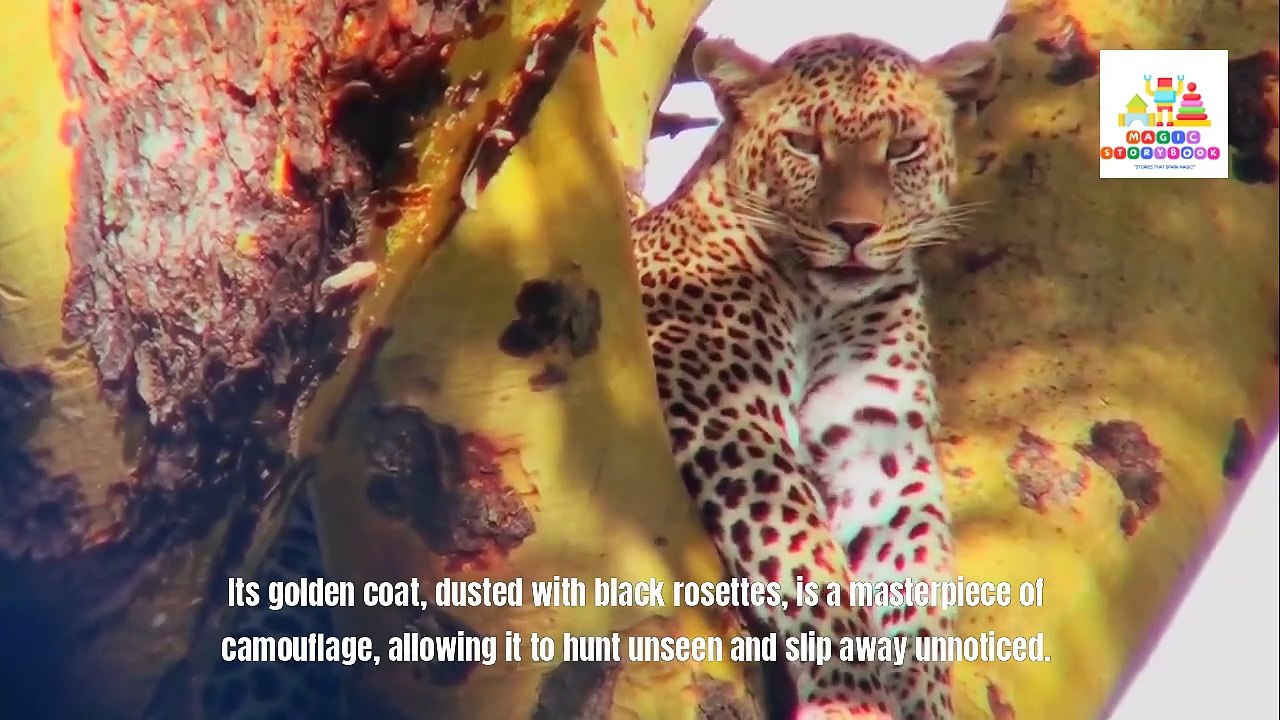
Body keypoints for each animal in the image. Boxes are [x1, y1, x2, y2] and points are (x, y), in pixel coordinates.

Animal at [633, 33, 999, 720]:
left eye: (902, 147)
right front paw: (852, 697)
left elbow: (915, 582)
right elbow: (805, 556)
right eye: (804, 143)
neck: (817, 304)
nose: (852, 231)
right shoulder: (723, 411)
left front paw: (922, 700)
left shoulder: (880, 444)